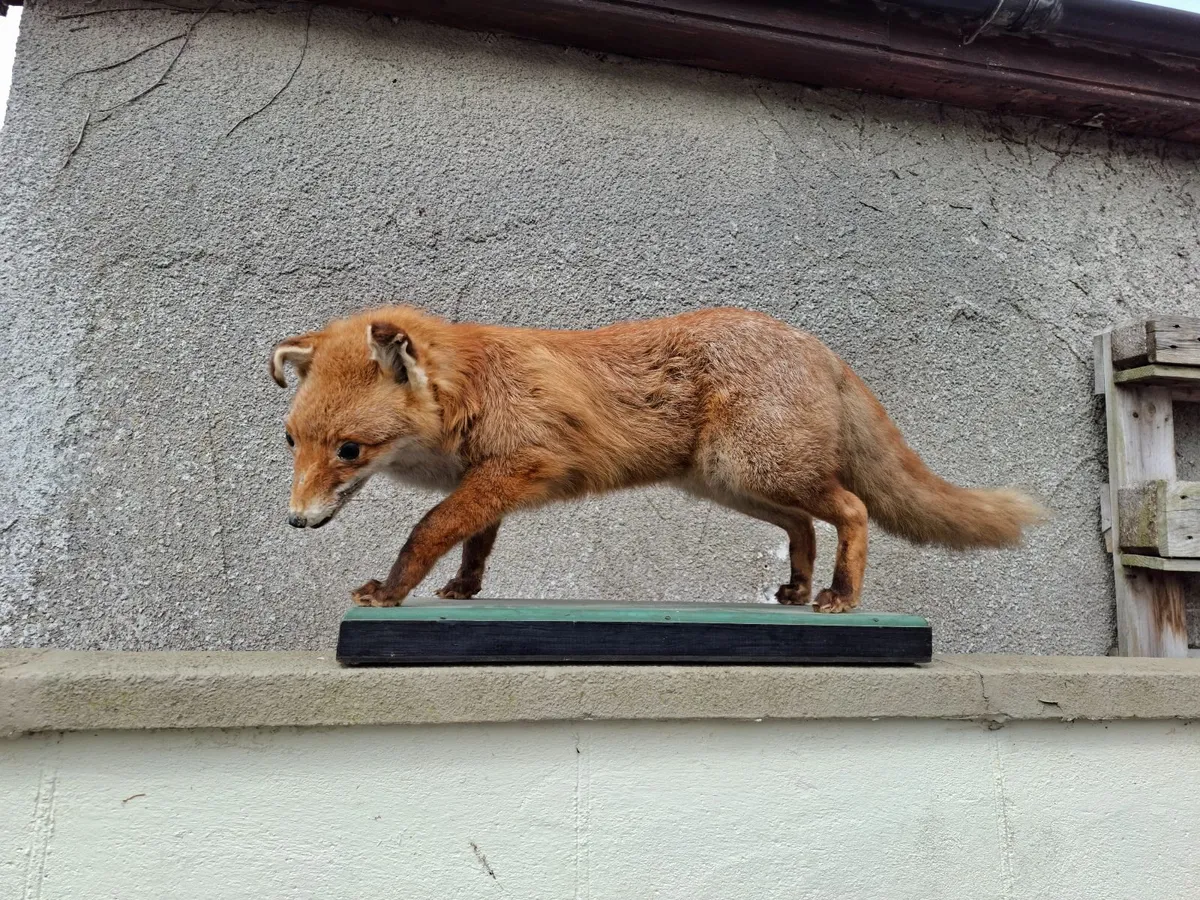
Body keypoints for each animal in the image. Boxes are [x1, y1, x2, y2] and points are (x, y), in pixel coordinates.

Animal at [270, 305, 1043, 612]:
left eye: (349, 450)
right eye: (290, 441)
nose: (295, 521)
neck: (474, 389)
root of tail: (812, 343)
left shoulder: (518, 465)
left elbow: (429, 529)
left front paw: (392, 590)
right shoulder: (490, 480)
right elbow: (473, 544)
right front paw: (462, 590)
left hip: (761, 470)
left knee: (850, 512)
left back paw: (840, 597)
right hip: (736, 486)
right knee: (803, 527)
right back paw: (796, 590)